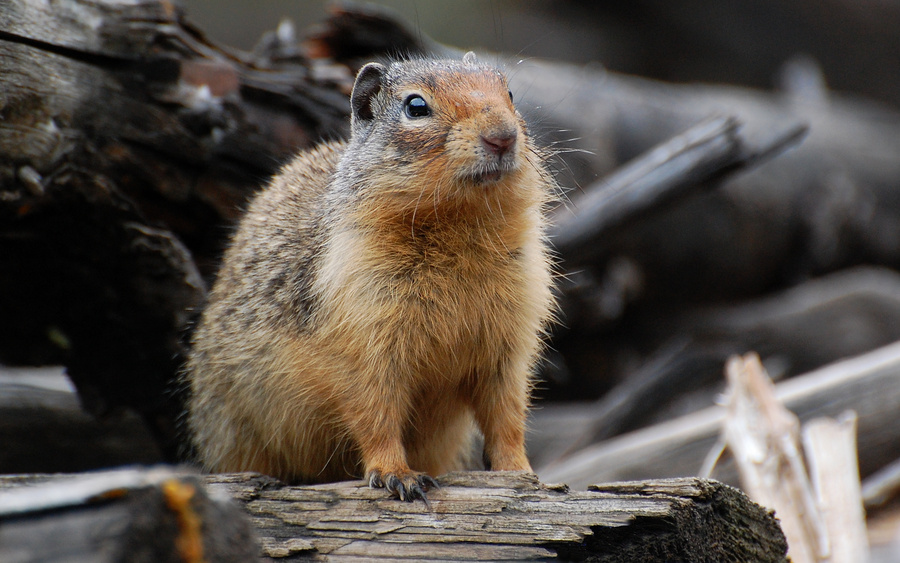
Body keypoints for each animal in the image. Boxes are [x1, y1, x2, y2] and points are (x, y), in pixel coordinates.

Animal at [186, 54, 556, 502]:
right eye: (416, 106)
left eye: (510, 94)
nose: (502, 137)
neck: (458, 224)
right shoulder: (364, 346)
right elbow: (376, 415)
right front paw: (399, 475)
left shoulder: (508, 349)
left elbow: (507, 416)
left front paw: (522, 474)